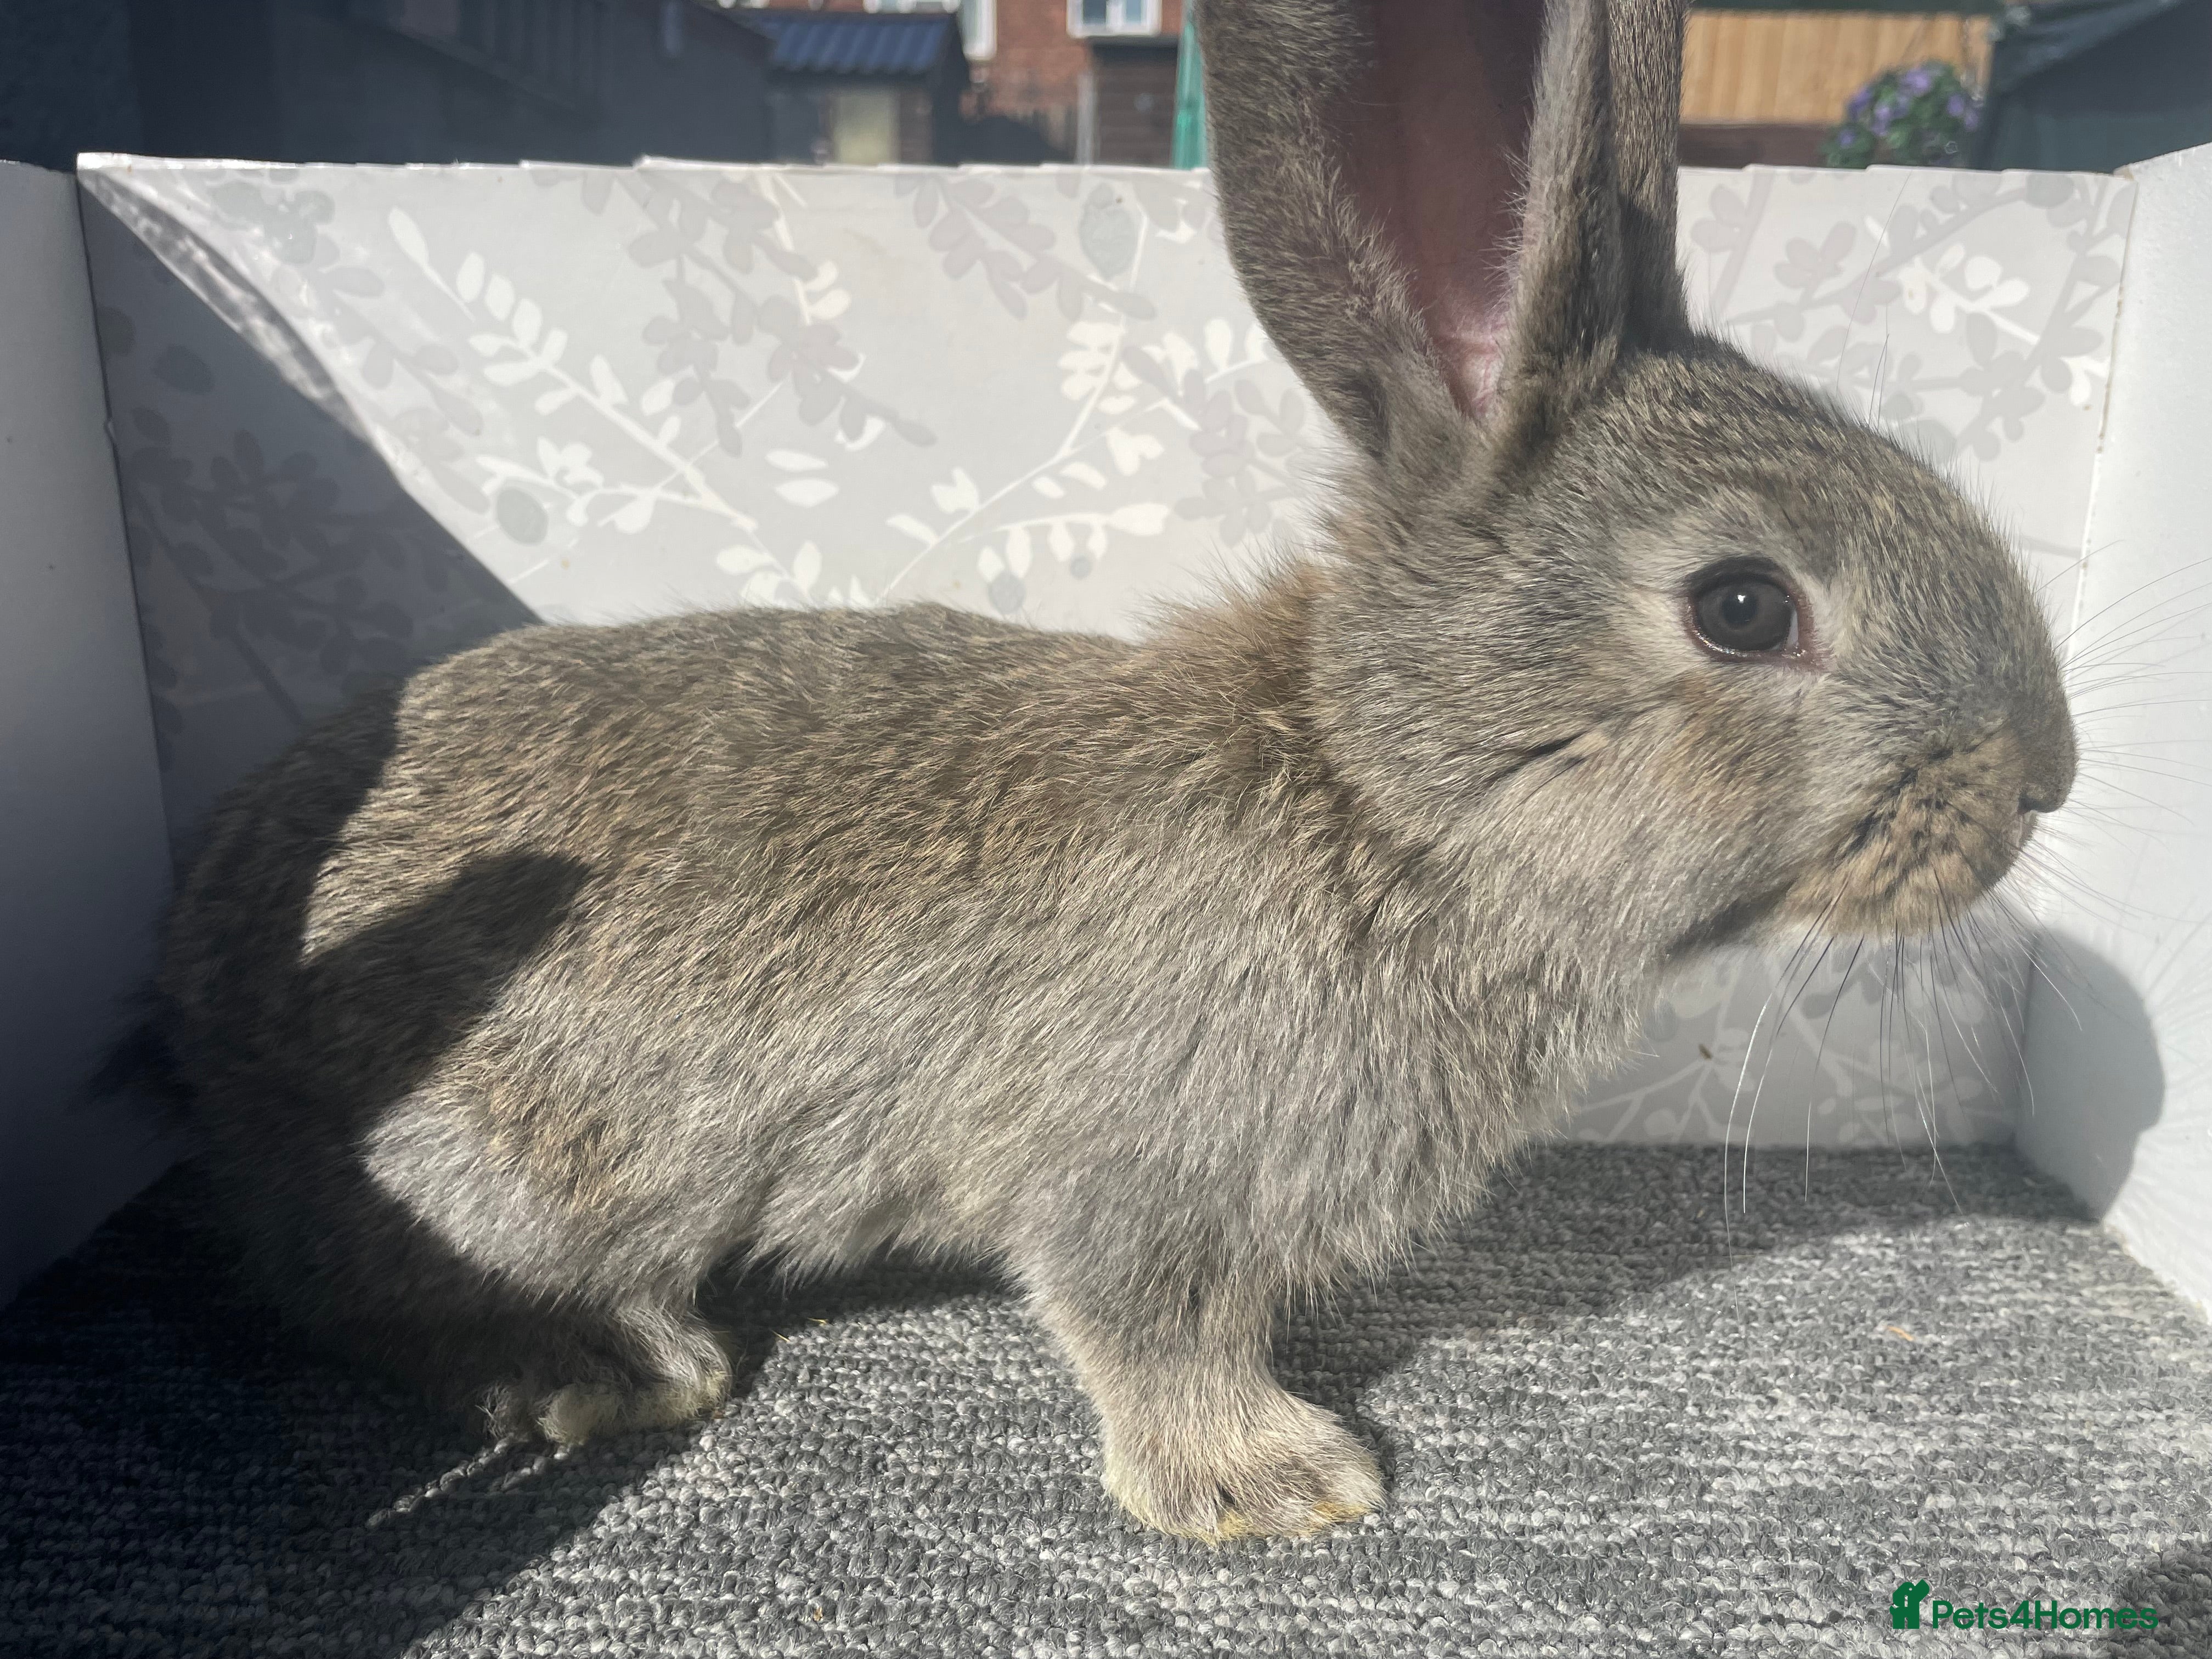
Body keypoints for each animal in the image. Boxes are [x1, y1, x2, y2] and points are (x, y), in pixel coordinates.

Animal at [155, 0, 2076, 1543]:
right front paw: (1276, 1484)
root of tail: (198, 995)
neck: (1388, 802)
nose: (2046, 777)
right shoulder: (1145, 1183)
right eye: (1744, 606)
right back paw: (604, 1367)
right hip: (508, 1165)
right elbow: (1149, 1328)